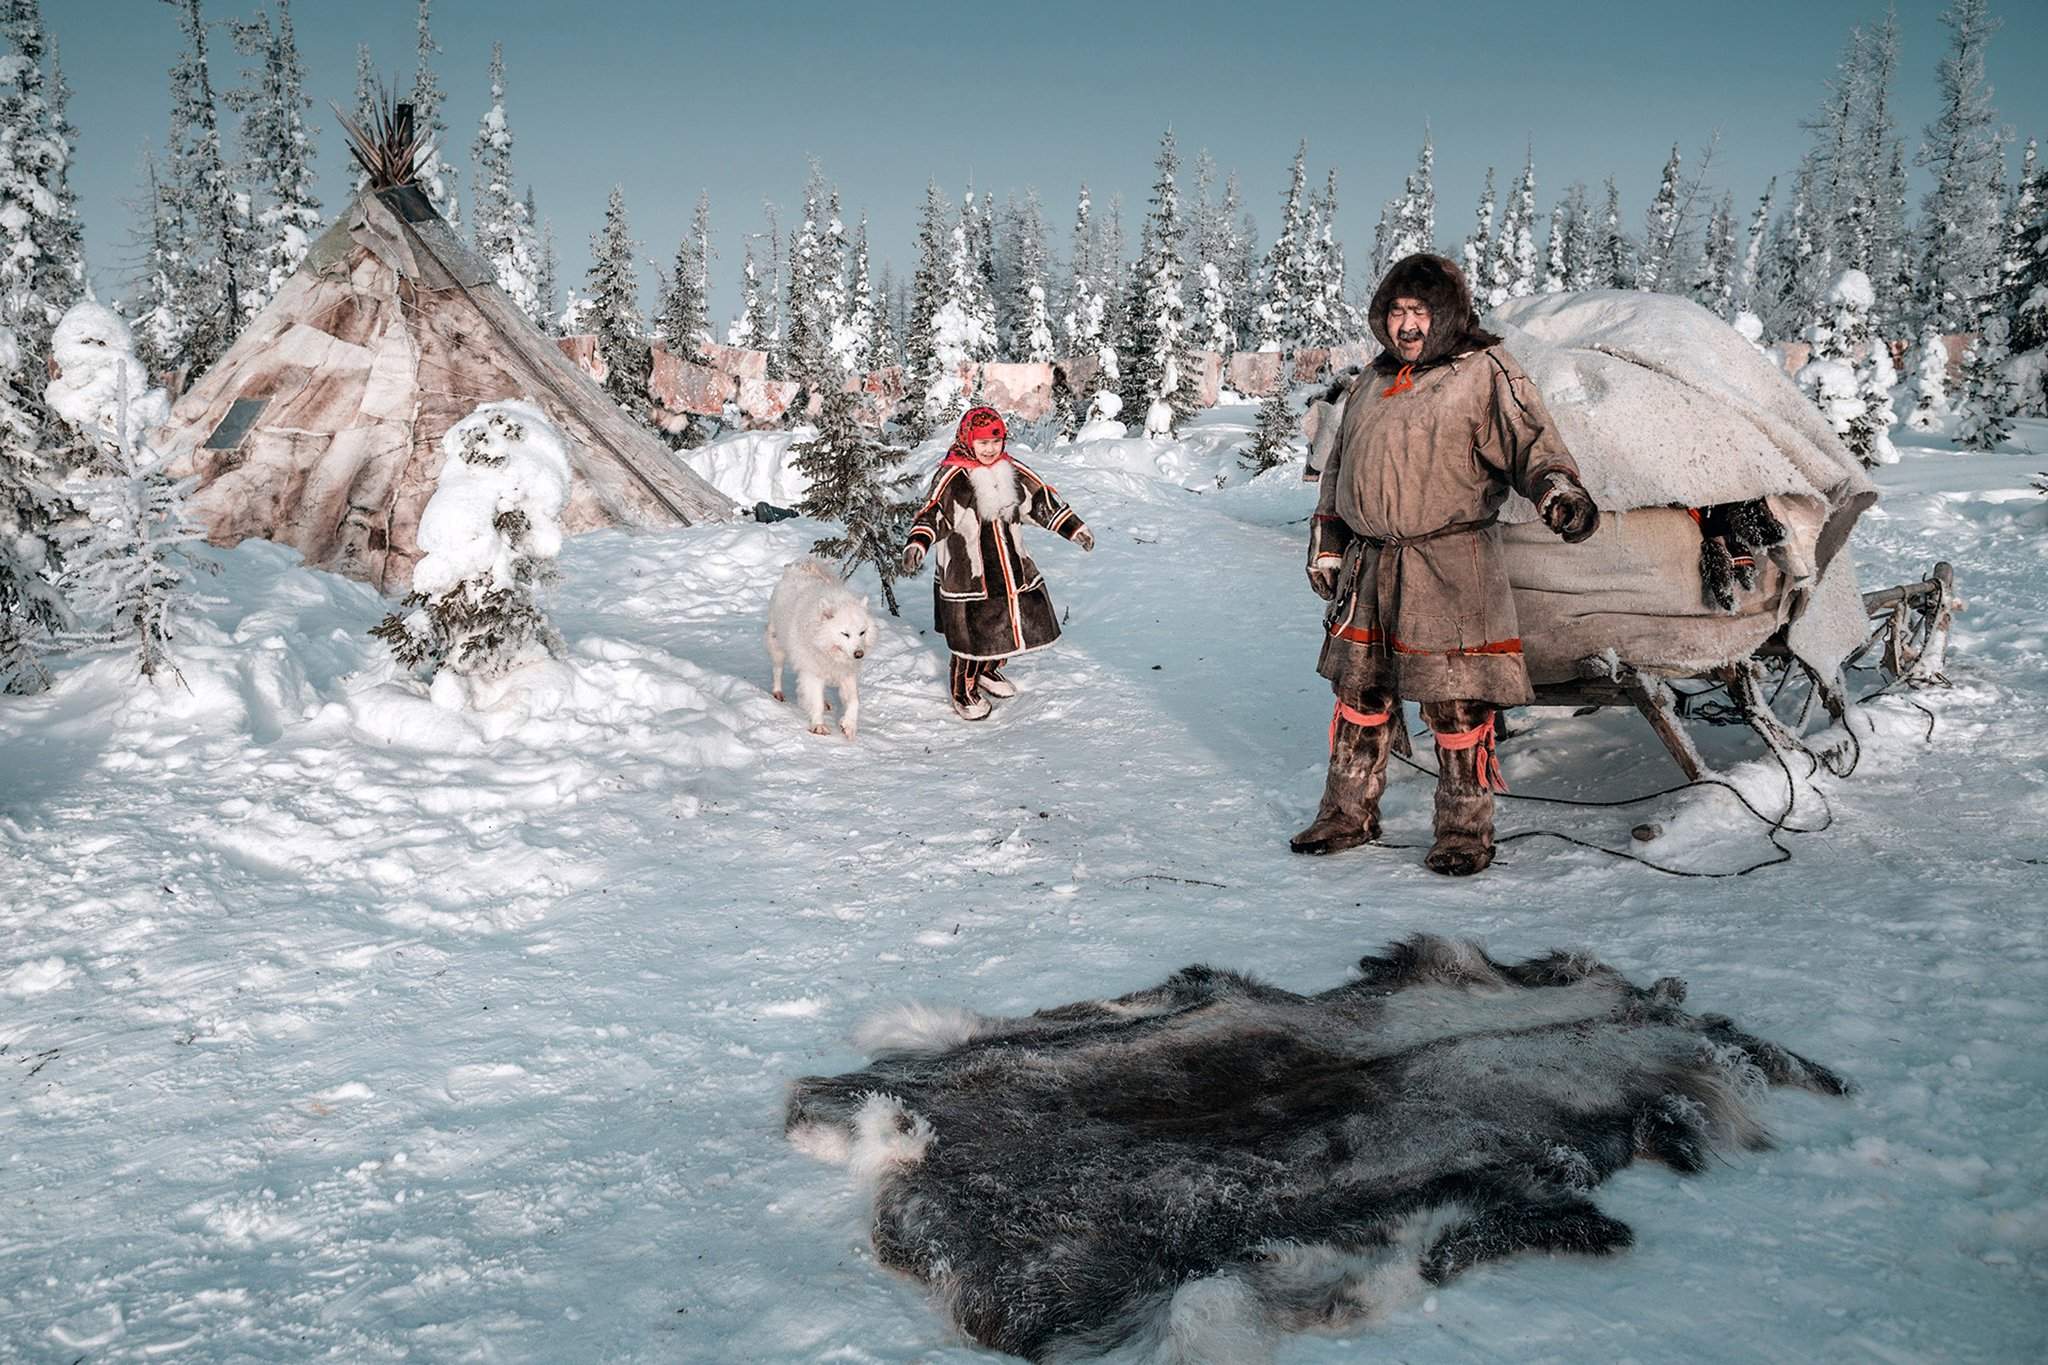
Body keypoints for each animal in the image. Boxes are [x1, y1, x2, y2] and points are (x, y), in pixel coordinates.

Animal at [761, 560, 872, 740]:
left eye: (862, 632)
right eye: (845, 634)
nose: (859, 654)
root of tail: (801, 567)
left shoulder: (846, 674)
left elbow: (854, 701)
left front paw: (848, 726)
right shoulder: (812, 673)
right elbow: (816, 702)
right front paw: (818, 726)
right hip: (777, 645)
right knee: (777, 670)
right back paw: (777, 693)